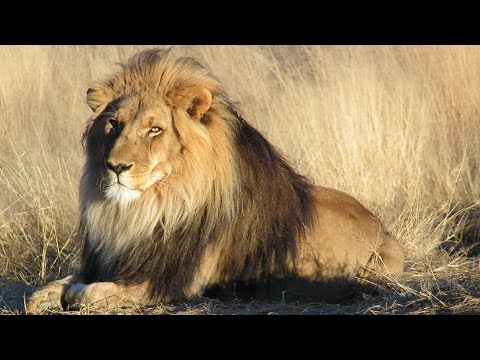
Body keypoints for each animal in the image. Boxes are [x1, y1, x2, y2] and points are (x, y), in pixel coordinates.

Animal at [27, 49, 404, 314]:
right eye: (113, 124)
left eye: (155, 129)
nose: (115, 166)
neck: (148, 208)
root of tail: (382, 226)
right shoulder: (111, 259)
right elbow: (56, 285)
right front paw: (46, 295)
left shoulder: (171, 281)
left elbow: (90, 293)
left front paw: (75, 294)